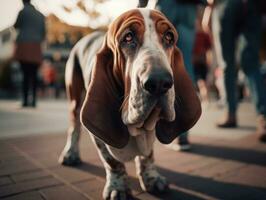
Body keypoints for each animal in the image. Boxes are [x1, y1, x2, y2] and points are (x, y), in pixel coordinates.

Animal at [59, 8, 201, 200]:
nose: (159, 82)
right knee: (74, 128)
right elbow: (112, 161)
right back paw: (70, 154)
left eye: (169, 37)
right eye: (128, 37)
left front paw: (152, 179)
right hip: (75, 100)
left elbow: (147, 156)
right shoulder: (99, 137)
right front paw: (117, 187)